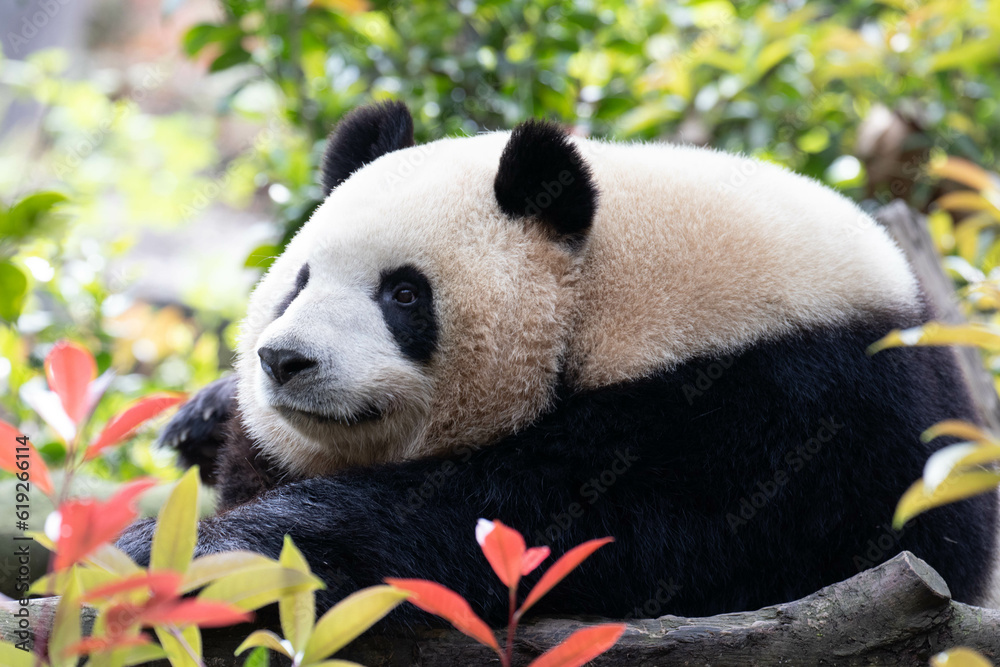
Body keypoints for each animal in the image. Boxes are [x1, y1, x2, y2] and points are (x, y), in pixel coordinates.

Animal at [119, 101, 1000, 620]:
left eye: (404, 294)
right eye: (298, 280)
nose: (284, 360)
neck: (602, 280)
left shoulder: (768, 406)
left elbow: (530, 526)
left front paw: (192, 554)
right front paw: (204, 422)